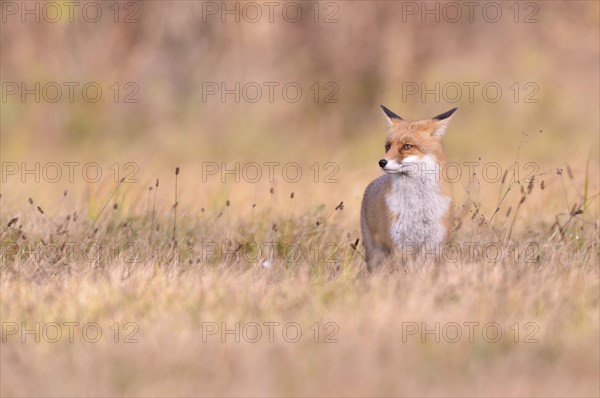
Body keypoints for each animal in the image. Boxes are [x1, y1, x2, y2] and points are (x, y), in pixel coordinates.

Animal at [360, 105, 454, 270]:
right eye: (388, 146)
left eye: (407, 146)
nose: (382, 162)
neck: (418, 205)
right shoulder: (400, 242)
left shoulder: (434, 243)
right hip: (376, 253)